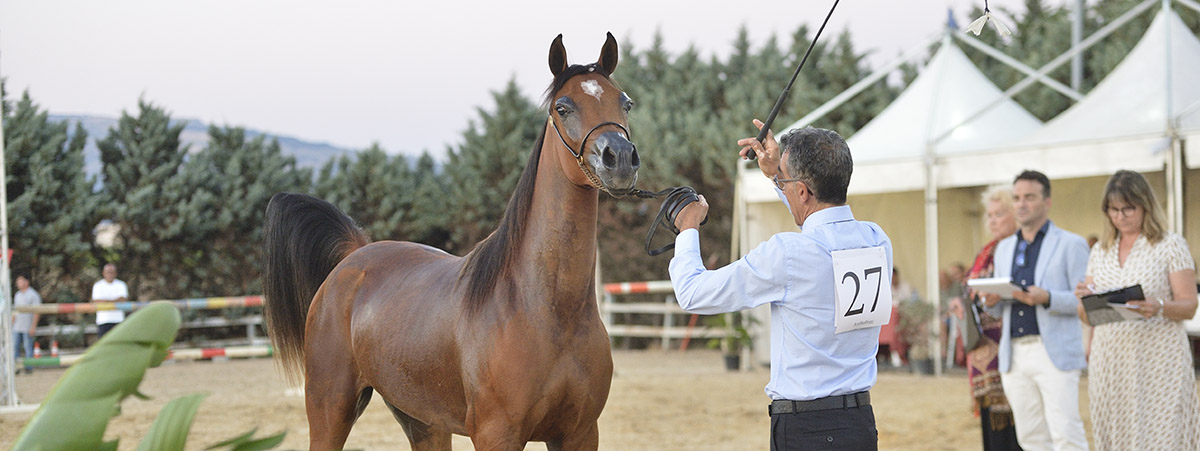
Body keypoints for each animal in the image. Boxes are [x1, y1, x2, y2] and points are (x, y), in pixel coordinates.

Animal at [263, 32, 639, 450]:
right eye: (563, 107)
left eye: (625, 102)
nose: (620, 158)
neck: (547, 308)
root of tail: (354, 255)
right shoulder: (497, 434)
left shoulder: (580, 433)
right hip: (330, 408)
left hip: (423, 421)